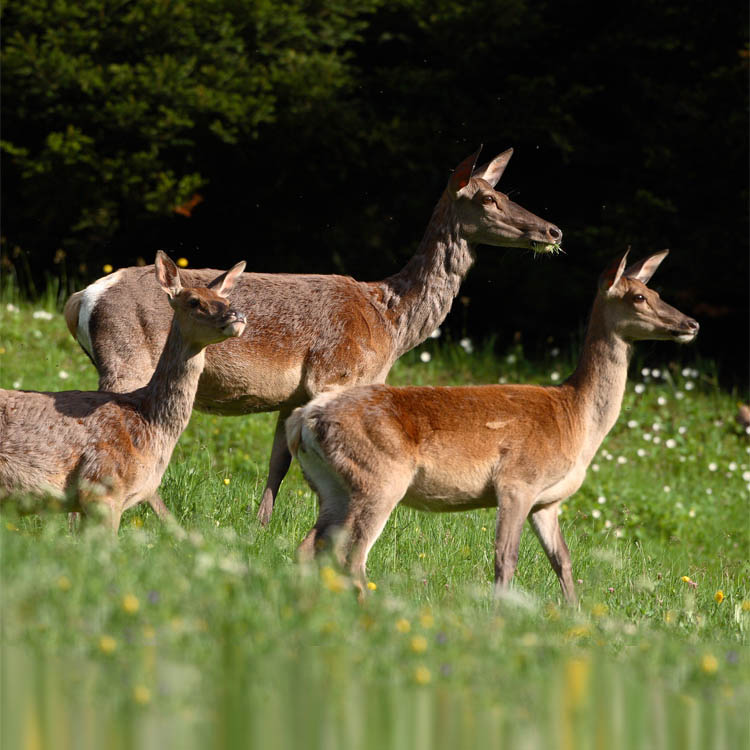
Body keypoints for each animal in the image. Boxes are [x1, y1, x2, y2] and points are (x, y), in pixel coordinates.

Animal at [66, 145, 564, 528]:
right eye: (487, 199)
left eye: (505, 193)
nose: (553, 230)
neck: (391, 324)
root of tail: (82, 298)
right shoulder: (335, 374)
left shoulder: (293, 393)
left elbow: (278, 461)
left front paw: (261, 527)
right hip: (127, 357)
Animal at [286, 250, 700, 604]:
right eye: (638, 298)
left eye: (656, 292)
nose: (691, 324)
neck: (578, 421)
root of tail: (303, 419)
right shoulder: (518, 480)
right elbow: (506, 558)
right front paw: (499, 617)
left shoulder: (547, 501)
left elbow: (563, 561)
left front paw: (576, 616)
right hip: (379, 476)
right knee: (351, 554)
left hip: (332, 483)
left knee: (311, 546)